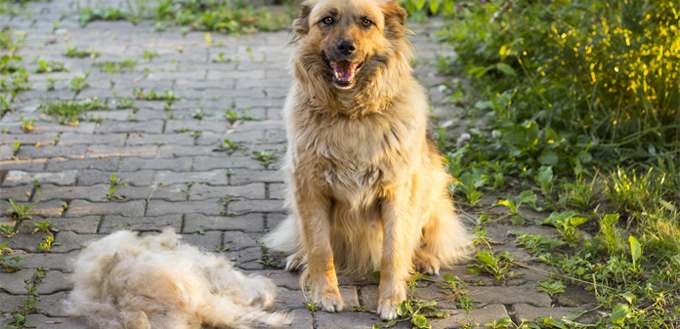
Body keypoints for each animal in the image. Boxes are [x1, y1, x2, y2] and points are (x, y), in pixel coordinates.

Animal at [266, 0, 472, 320]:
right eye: (327, 20)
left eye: (366, 22)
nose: (345, 47)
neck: (351, 115)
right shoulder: (309, 189)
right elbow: (320, 249)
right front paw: (325, 293)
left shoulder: (398, 193)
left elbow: (394, 251)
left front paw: (392, 299)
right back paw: (300, 256)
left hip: (430, 189)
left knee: (428, 235)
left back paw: (424, 258)